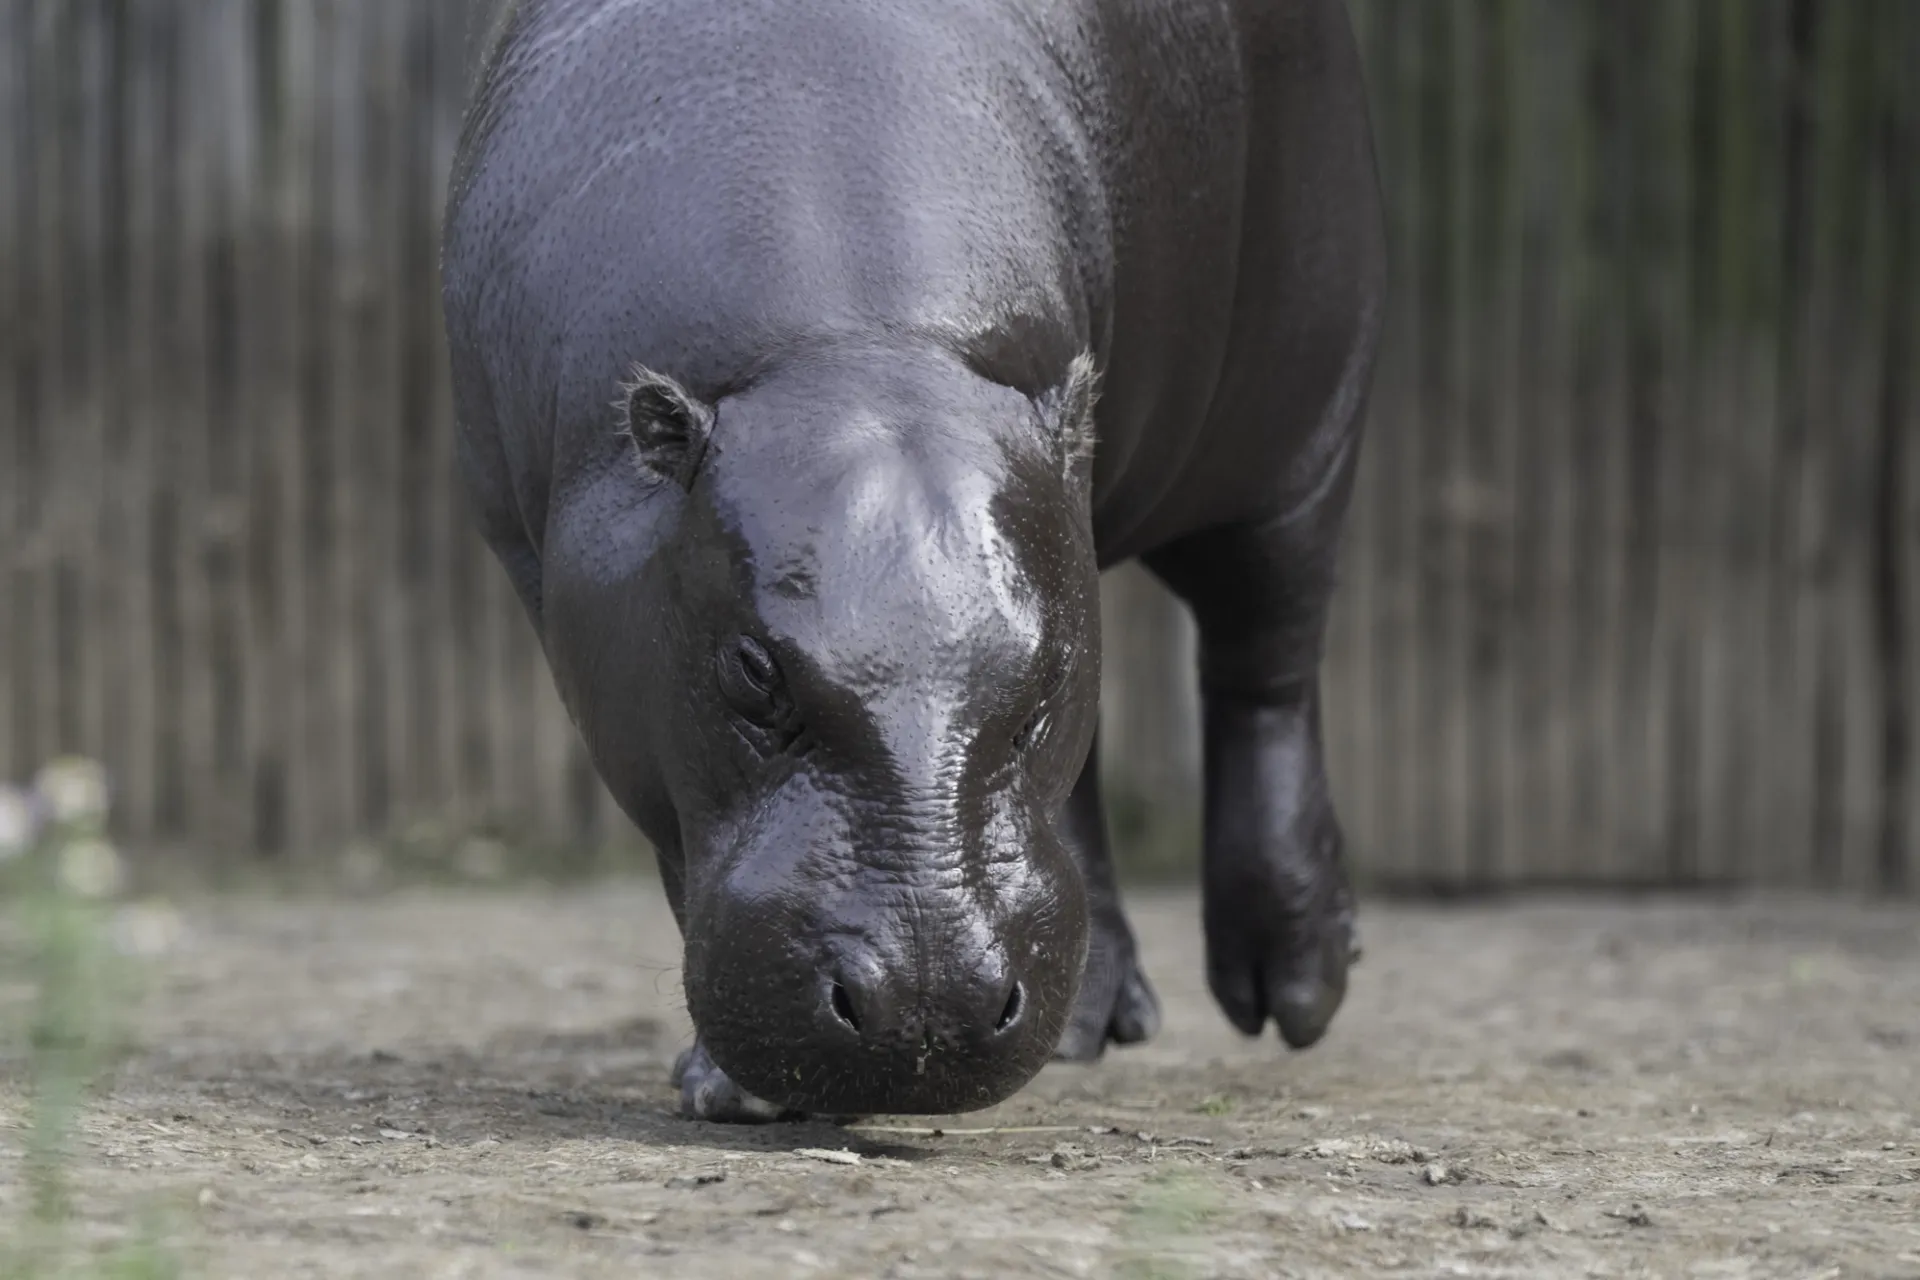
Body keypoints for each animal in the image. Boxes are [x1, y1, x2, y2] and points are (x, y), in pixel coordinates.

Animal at [440, 0, 1384, 1121]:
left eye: (1045, 683)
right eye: (751, 671)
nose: (927, 1006)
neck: (856, 347)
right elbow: (678, 839)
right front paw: (732, 1091)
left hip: (1298, 407)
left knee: (1264, 653)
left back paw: (1295, 985)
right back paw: (1094, 1019)